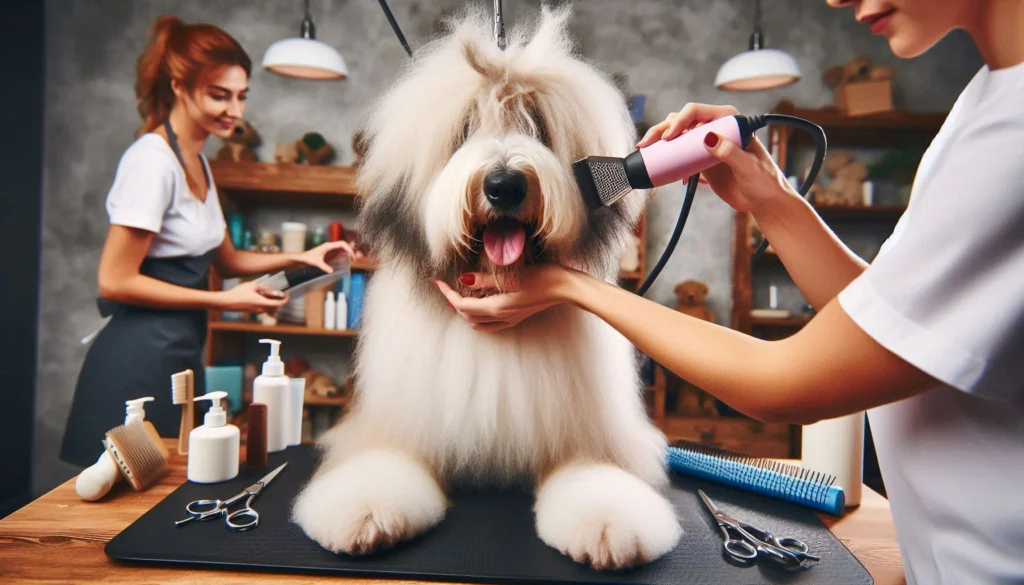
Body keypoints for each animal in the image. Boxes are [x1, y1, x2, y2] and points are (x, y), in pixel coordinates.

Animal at [292, 3, 684, 573]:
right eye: (464, 129)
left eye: (538, 125)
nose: (504, 185)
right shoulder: (397, 416)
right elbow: (382, 458)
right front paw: (363, 511)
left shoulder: (589, 426)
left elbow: (593, 469)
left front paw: (609, 525)